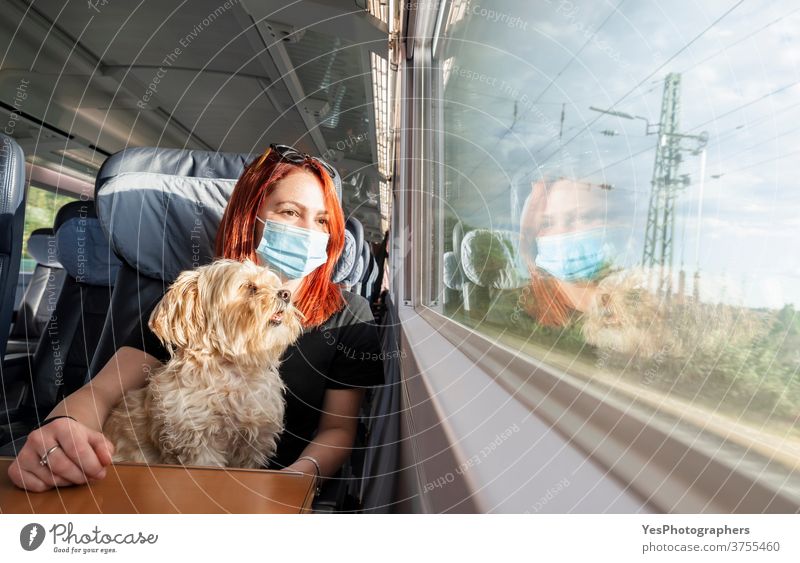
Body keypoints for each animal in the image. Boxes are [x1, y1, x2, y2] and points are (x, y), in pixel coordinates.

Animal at [103, 262, 304, 470]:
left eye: (275, 285)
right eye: (250, 287)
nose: (286, 294)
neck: (235, 374)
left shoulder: (253, 447)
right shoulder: (199, 445)